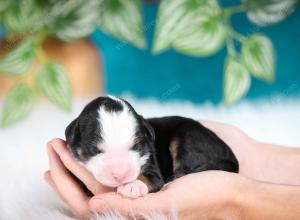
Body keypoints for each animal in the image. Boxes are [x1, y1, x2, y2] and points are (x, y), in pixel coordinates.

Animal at [65, 95, 239, 199]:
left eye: (136, 146)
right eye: (95, 150)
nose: (120, 174)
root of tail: (229, 154)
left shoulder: (151, 162)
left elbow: (149, 177)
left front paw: (133, 186)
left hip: (188, 135)